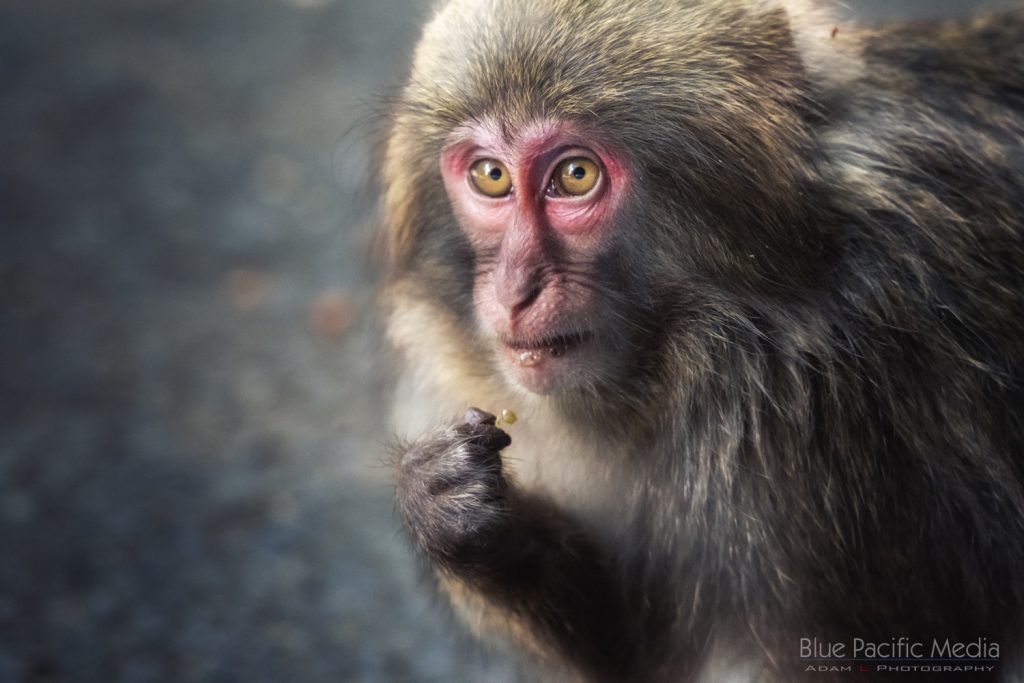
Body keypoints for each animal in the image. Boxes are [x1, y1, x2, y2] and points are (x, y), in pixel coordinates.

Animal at [376, 0, 1024, 679]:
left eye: (576, 175)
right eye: (491, 176)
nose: (514, 291)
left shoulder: (814, 419)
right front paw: (446, 503)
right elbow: (643, 646)